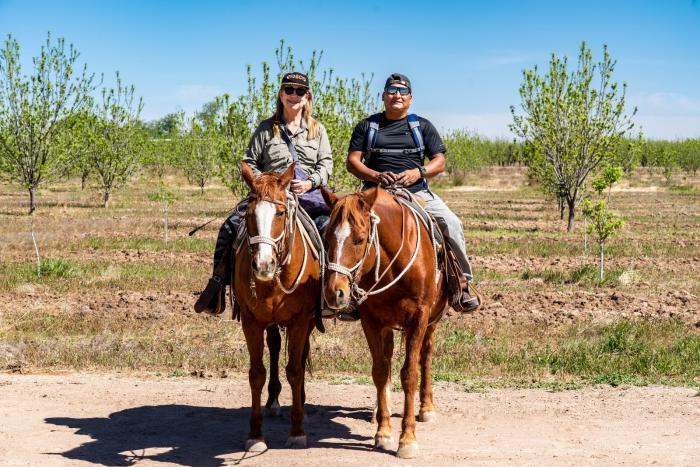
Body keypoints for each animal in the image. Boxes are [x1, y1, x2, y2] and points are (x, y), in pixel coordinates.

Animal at [237, 163, 322, 452]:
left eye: (281, 213)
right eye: (248, 213)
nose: (263, 265)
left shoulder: (300, 320)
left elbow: (295, 370)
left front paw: (297, 432)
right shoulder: (251, 320)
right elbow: (256, 374)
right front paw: (255, 435)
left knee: (300, 354)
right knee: (274, 346)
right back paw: (273, 401)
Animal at [320, 185, 446, 458]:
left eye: (359, 239)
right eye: (327, 238)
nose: (335, 293)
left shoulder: (419, 318)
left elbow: (410, 374)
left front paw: (407, 440)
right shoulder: (372, 320)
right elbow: (379, 371)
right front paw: (384, 433)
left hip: (432, 321)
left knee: (426, 356)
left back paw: (426, 408)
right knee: (387, 360)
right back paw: (380, 410)